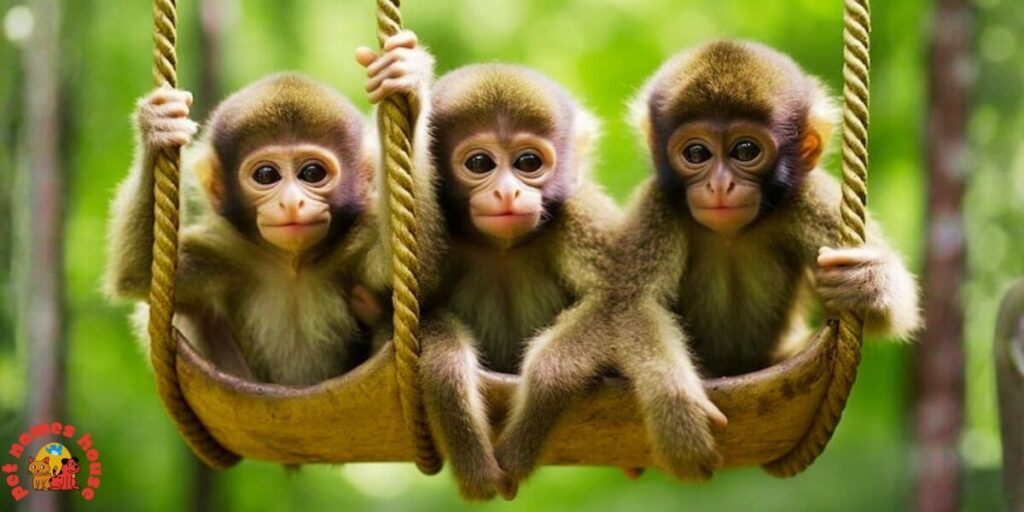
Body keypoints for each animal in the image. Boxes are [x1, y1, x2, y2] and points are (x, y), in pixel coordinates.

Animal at [105, 32, 434, 386]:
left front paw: (407, 81)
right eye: (266, 175)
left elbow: (425, 269)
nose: (291, 202)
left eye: (312, 173)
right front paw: (157, 129)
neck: (292, 267)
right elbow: (138, 275)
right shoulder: (224, 252)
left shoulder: (358, 240)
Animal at [398, 63, 622, 501]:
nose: (507, 192)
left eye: (528, 162)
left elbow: (625, 300)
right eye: (480, 163)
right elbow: (416, 305)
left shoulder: (579, 213)